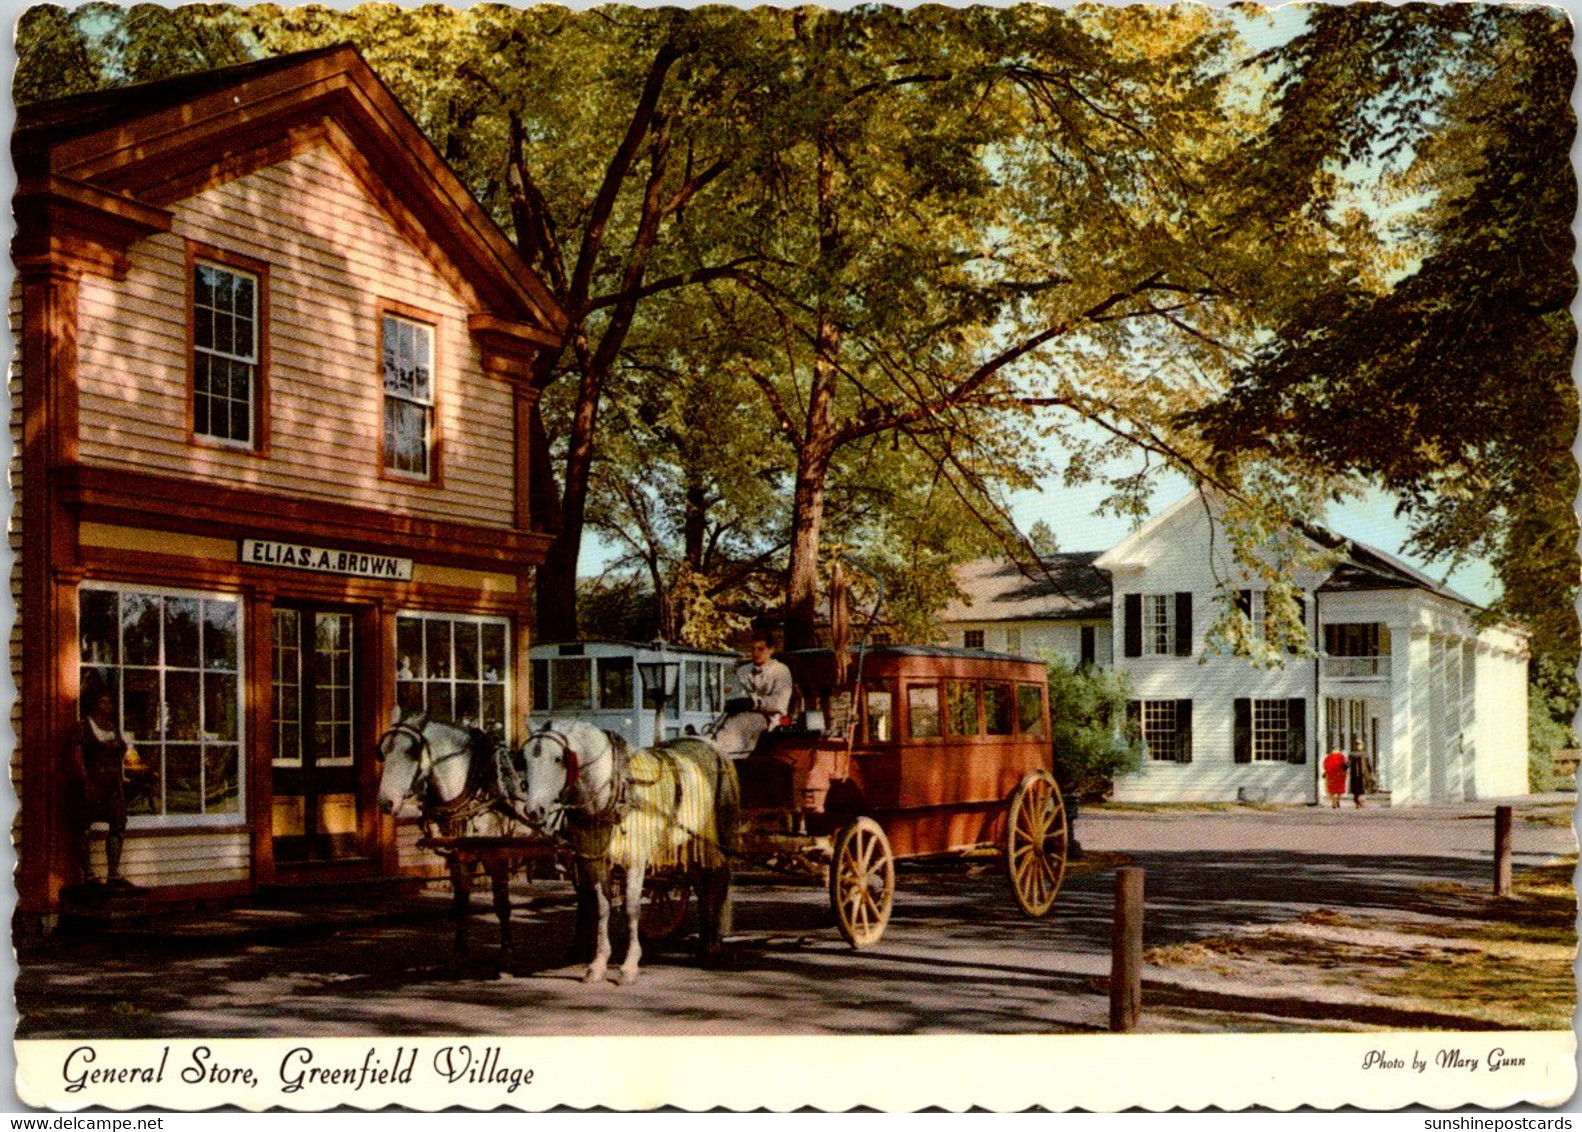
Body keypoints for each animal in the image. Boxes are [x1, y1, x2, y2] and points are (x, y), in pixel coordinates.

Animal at [378, 708, 537, 961]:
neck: (477, 782)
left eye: (411, 752)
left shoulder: (497, 854)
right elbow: (461, 900)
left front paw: (507, 949)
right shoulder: (459, 854)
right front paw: (461, 949)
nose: (385, 802)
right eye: (383, 751)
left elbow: (501, 902)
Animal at [522, 720, 737, 986]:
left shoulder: (635, 860)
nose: (533, 810)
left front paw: (629, 966)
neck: (615, 791)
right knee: (703, 887)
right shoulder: (596, 861)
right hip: (689, 845)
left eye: (558, 759)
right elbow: (602, 907)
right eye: (524, 758)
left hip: (716, 839)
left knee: (717, 884)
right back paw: (705, 946)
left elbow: (631, 909)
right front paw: (598, 964)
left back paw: (714, 947)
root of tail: (707, 742)